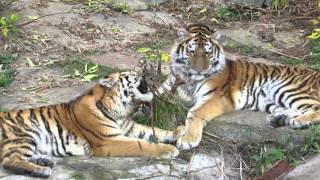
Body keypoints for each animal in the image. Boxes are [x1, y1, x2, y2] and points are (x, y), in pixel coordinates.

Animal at [0, 70, 184, 177]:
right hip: (22, 135)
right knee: (9, 160)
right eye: (135, 75)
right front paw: (168, 149)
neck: (120, 110)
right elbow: (141, 144)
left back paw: (44, 161)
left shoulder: (130, 128)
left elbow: (155, 131)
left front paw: (179, 132)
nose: (153, 77)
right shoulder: (108, 140)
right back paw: (41, 170)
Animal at [158, 23, 320, 150]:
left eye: (208, 53)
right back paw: (278, 119)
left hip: (286, 88)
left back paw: (298, 121)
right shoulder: (166, 86)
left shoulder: (216, 97)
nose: (199, 70)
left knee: (315, 107)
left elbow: (194, 112)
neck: (188, 78)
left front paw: (188, 139)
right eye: (191, 52)